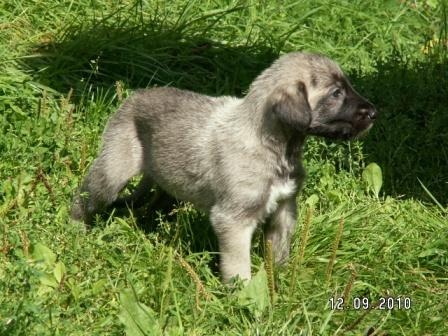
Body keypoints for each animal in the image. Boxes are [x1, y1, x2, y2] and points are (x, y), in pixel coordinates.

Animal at [72, 52, 376, 282]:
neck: (272, 146)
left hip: (168, 181)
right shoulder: (233, 220)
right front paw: (244, 300)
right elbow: (238, 266)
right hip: (113, 172)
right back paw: (76, 231)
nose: (373, 113)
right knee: (84, 197)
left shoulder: (284, 209)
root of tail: (133, 97)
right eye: (336, 93)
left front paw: (281, 279)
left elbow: (279, 252)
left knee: (153, 204)